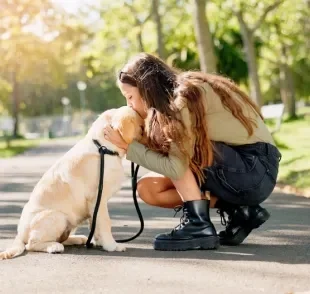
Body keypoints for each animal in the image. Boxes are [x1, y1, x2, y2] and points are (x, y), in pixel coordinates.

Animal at [0, 105, 143, 260]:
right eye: (141, 125)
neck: (103, 148)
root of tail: (19, 234)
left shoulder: (94, 205)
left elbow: (95, 224)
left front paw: (100, 242)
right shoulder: (97, 198)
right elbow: (105, 223)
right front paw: (112, 246)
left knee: (62, 238)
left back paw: (78, 238)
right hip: (57, 216)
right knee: (31, 244)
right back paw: (54, 246)